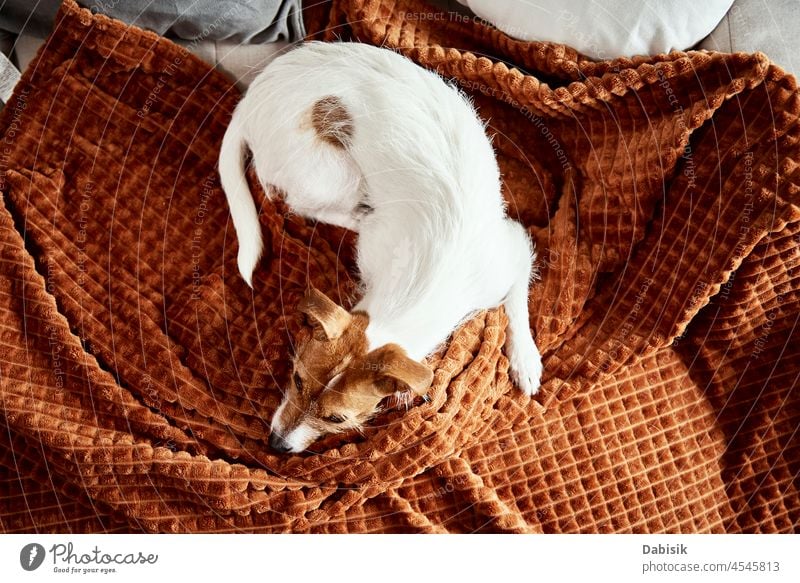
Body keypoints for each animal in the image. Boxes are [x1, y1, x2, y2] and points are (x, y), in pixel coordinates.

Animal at [219, 43, 544, 454]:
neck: (427, 278)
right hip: (335, 175)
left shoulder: (511, 248)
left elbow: (517, 299)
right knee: (296, 202)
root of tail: (251, 97)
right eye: (296, 378)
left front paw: (525, 358)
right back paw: (356, 214)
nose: (276, 445)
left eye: (337, 418)